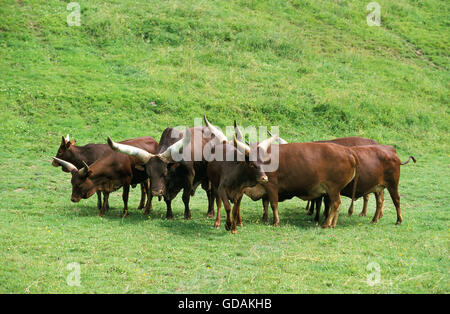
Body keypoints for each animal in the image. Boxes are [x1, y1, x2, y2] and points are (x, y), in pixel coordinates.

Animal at [209, 119, 360, 229]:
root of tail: (348, 152)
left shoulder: (271, 185)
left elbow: (273, 203)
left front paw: (275, 221)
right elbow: (265, 203)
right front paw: (265, 218)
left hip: (333, 188)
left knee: (336, 204)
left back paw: (326, 223)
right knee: (336, 205)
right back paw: (333, 223)